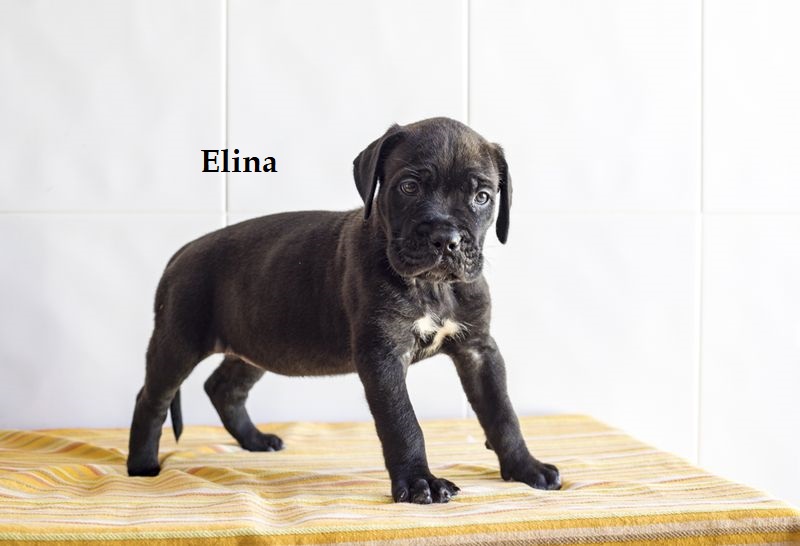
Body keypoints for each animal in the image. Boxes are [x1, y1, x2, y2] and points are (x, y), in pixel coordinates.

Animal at [127, 117, 561, 504]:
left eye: (482, 197)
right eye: (409, 186)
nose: (445, 238)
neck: (432, 286)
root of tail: (184, 251)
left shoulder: (478, 350)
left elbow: (502, 412)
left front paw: (526, 468)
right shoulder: (382, 355)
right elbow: (403, 421)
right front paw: (419, 483)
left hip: (255, 341)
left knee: (223, 388)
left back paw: (255, 441)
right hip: (179, 340)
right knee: (152, 398)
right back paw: (142, 465)